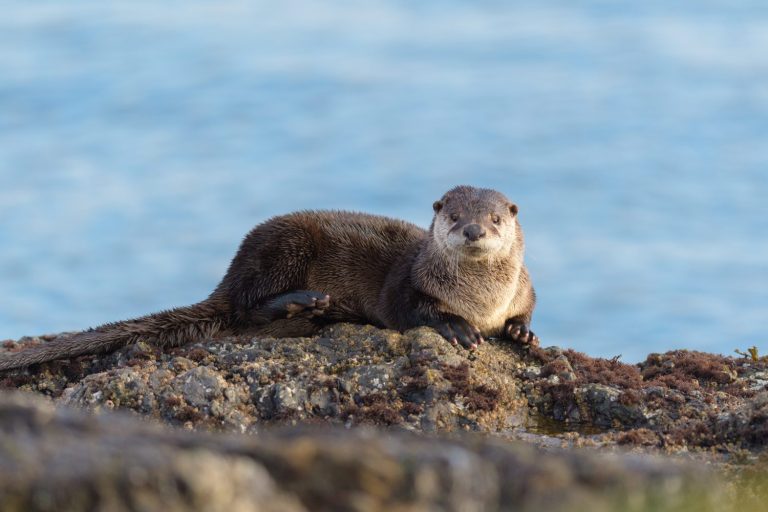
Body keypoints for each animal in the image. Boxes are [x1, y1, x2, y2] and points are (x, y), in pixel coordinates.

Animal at [0, 185, 537, 372]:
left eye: (494, 218)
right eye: (454, 216)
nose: (473, 230)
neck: (481, 300)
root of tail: (232, 270)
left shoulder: (524, 288)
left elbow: (528, 309)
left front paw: (521, 333)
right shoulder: (406, 282)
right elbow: (410, 310)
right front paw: (456, 328)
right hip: (283, 246)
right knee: (244, 308)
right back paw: (305, 302)